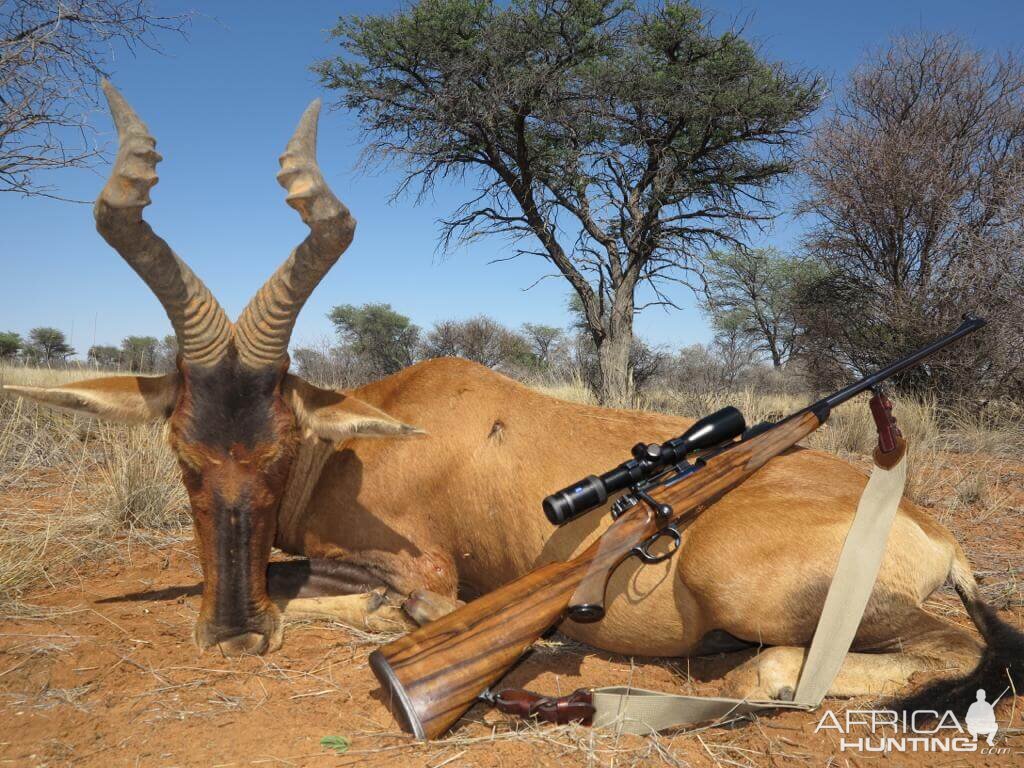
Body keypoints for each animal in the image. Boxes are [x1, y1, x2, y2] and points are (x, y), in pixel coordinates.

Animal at [6, 85, 1015, 716]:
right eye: (183, 452)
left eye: (279, 443)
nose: (232, 636)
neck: (371, 436)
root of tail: (937, 531)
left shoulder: (424, 572)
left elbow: (356, 595)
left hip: (754, 586)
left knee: (935, 650)